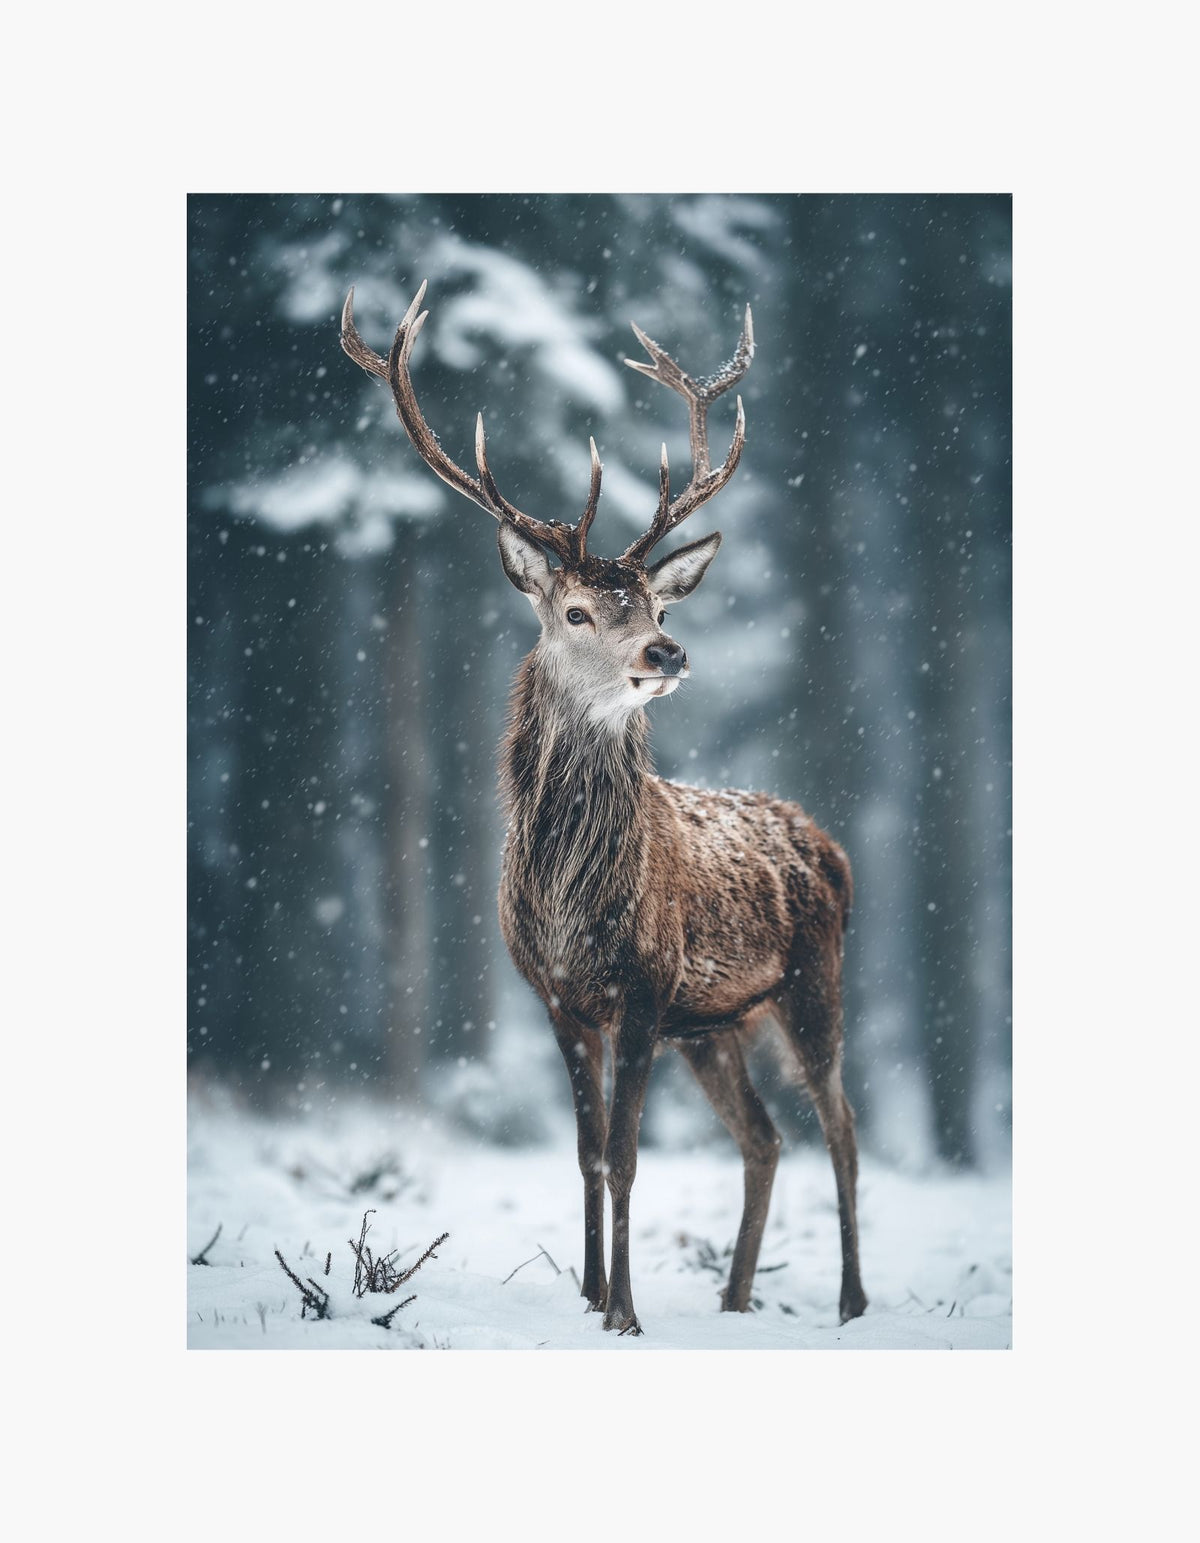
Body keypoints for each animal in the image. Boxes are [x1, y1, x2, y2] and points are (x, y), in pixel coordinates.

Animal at [341, 280, 867, 1335]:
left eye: (657, 608)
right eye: (578, 610)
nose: (668, 651)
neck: (570, 901)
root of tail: (828, 842)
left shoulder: (646, 986)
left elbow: (625, 1157)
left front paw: (624, 1311)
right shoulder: (560, 997)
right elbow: (585, 1156)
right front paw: (588, 1297)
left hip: (812, 979)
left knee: (840, 1126)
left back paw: (851, 1301)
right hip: (719, 1025)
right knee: (765, 1138)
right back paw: (736, 1299)